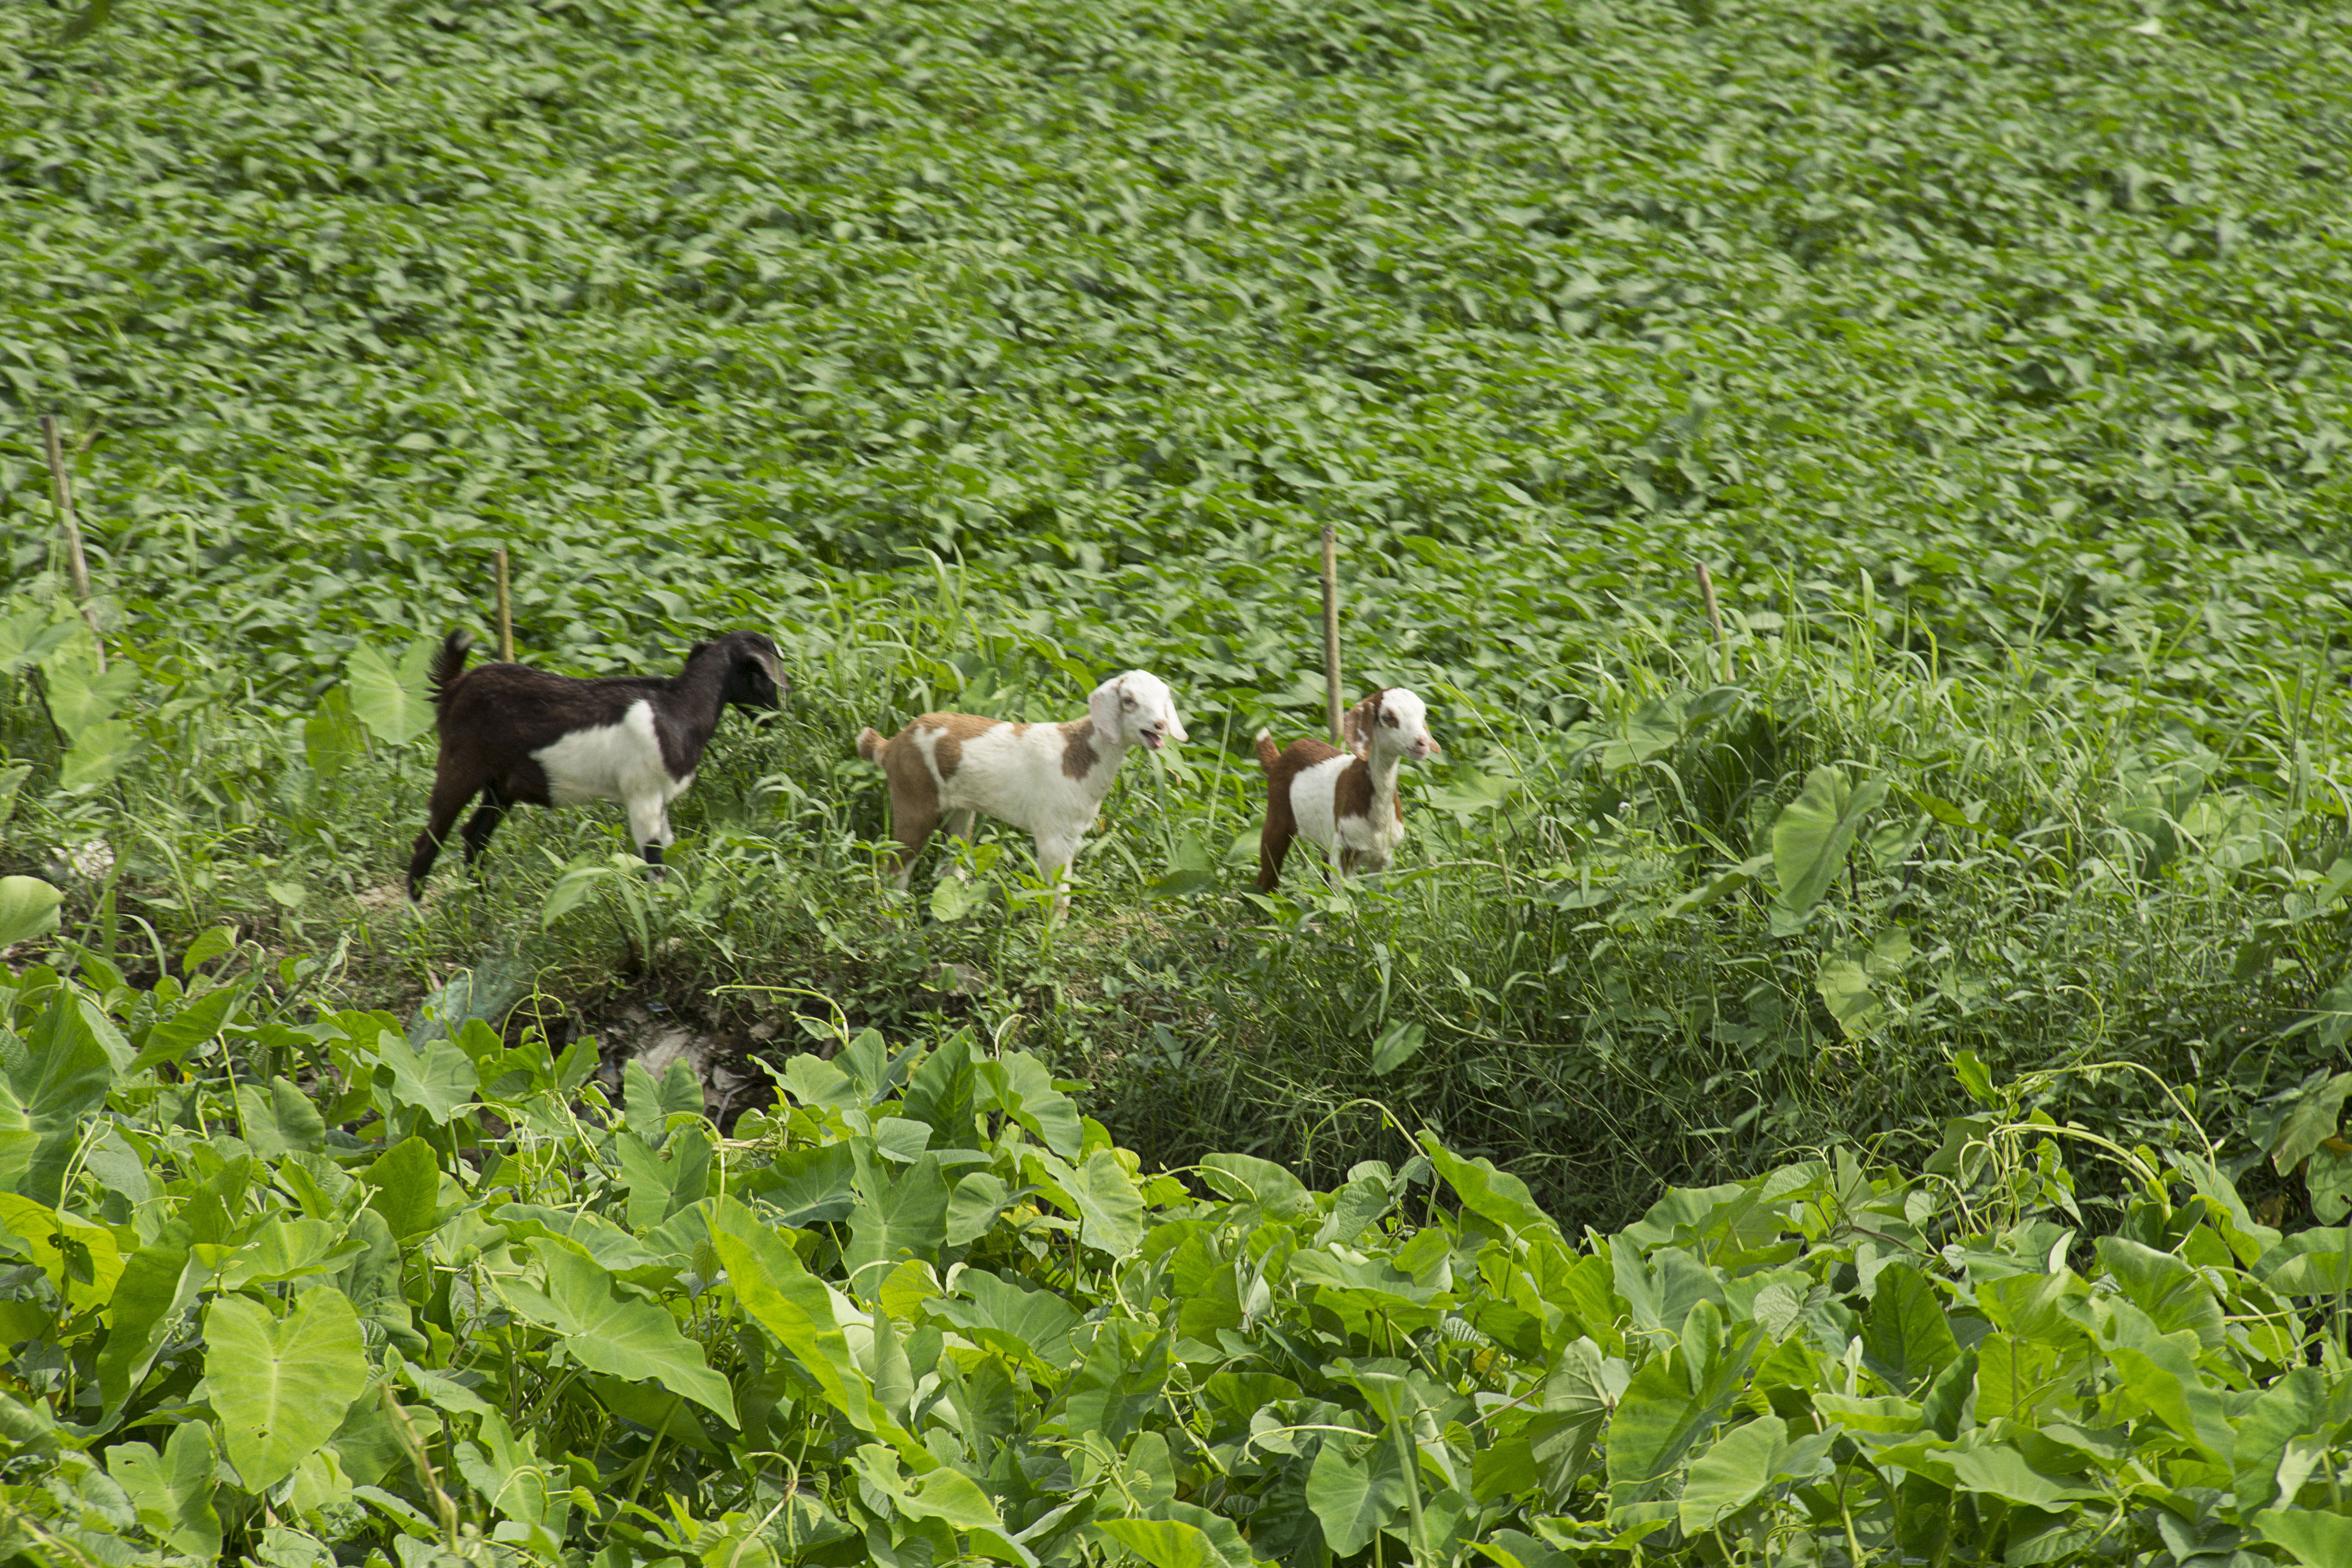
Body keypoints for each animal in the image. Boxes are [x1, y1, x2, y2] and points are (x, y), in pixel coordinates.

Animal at [405, 629, 785, 898]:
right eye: (766, 677)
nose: (778, 715)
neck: (678, 711)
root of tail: (456, 685)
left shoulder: (661, 799)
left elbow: (668, 845)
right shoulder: (642, 794)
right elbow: (653, 856)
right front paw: (658, 912)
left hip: (501, 785)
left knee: (474, 835)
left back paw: (482, 906)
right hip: (461, 765)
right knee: (430, 839)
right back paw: (420, 920)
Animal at [855, 670, 1187, 918]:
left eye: (1164, 701)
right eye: (1129, 701)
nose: (1160, 725)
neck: (1076, 757)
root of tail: (891, 745)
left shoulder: (1073, 833)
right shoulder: (1053, 833)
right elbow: (1058, 893)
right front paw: (1055, 937)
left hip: (960, 808)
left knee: (954, 857)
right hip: (914, 796)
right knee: (896, 867)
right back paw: (894, 917)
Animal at [1253, 687, 1440, 891]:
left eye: (1423, 715)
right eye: (1388, 717)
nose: (1422, 743)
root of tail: (1278, 759)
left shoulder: (1384, 857)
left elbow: (1379, 896)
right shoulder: (1344, 852)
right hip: (1278, 812)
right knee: (1268, 872)